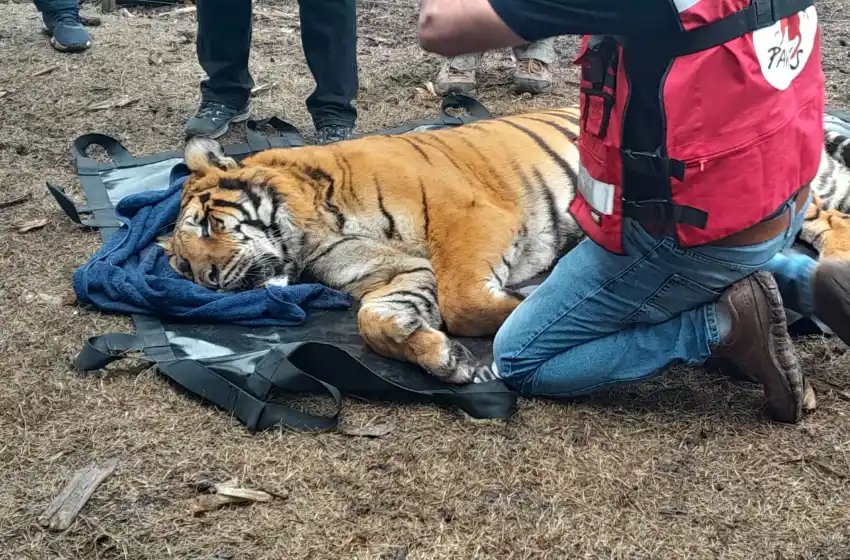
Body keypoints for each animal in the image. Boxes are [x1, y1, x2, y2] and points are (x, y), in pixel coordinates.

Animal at [159, 106, 850, 385]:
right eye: (183, 267)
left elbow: (468, 300)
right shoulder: (393, 277)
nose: (209, 281)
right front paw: (443, 360)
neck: (312, 234)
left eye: (206, 226)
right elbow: (377, 321)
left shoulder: (467, 218)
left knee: (829, 221)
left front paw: (528, 302)